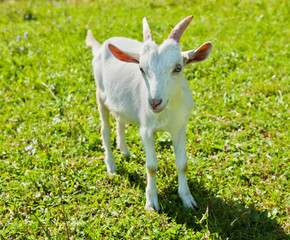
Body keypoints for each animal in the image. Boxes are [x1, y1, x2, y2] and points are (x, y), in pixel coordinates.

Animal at [86, 15, 213, 211]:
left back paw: (125, 151)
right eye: (141, 69)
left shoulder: (180, 127)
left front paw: (187, 199)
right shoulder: (146, 130)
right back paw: (111, 166)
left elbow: (183, 164)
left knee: (120, 121)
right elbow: (151, 166)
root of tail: (101, 46)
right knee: (105, 130)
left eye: (178, 68)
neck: (168, 111)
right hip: (100, 96)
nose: (154, 102)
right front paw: (151, 202)